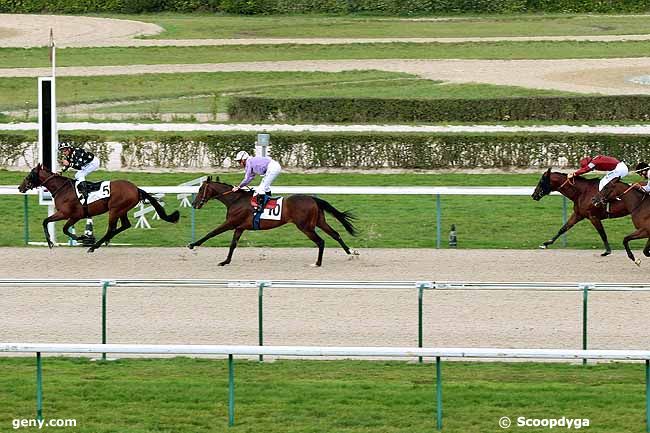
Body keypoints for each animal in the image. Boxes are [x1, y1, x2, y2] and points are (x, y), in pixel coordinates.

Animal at [18, 162, 180, 251]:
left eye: (29, 175)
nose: (20, 187)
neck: (63, 189)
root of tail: (136, 189)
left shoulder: (69, 214)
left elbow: (51, 223)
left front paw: (79, 238)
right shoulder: (73, 215)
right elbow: (57, 226)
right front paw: (81, 237)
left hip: (115, 210)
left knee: (111, 228)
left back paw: (93, 246)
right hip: (121, 210)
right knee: (124, 225)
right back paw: (102, 242)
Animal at [187, 176, 360, 266]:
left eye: (201, 189)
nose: (194, 204)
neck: (235, 200)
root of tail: (313, 199)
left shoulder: (231, 223)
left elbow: (211, 233)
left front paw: (192, 245)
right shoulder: (240, 227)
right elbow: (233, 244)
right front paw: (225, 261)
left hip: (305, 226)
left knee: (321, 241)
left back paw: (317, 263)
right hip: (318, 222)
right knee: (335, 234)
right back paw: (351, 252)